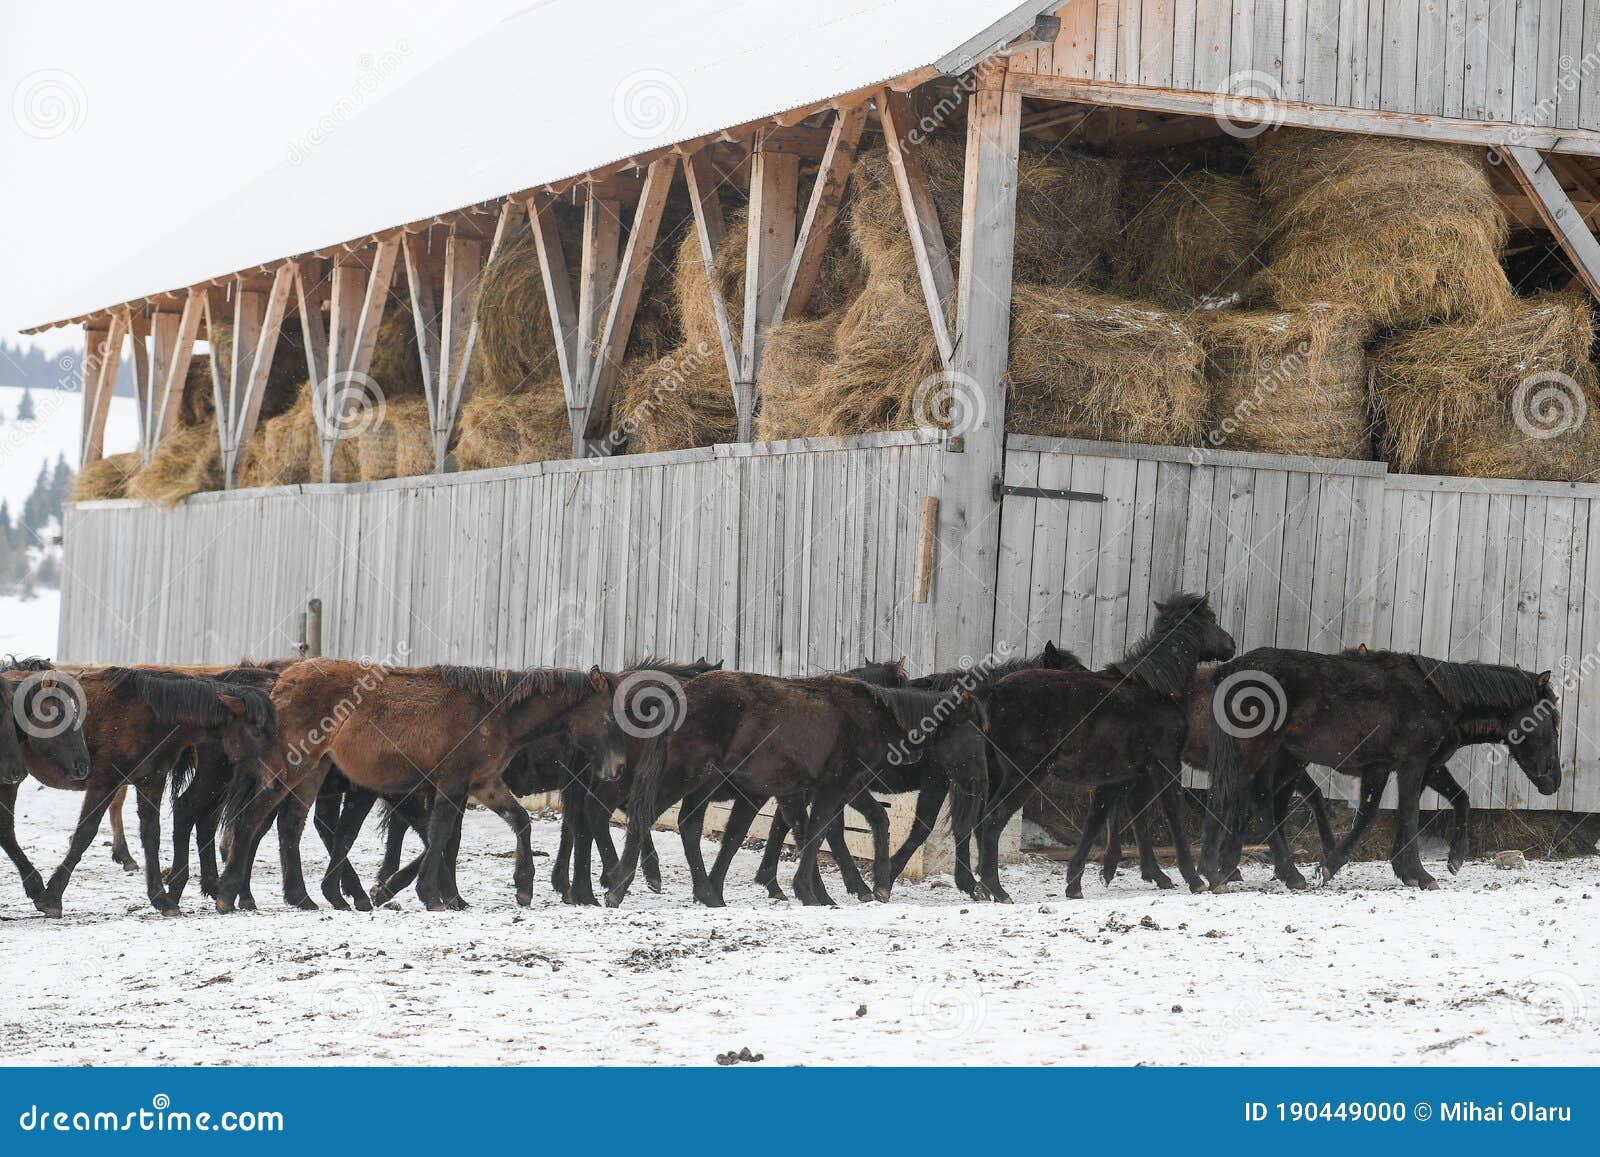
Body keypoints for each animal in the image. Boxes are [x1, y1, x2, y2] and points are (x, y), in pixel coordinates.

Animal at [0, 666, 276, 915]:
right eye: (256, 730)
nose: (277, 772)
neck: (146, 716)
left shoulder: (150, 782)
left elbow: (151, 834)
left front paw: (161, 899)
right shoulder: (104, 782)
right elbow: (84, 834)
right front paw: (52, 897)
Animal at [217, 660, 630, 913]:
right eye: (608, 717)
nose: (618, 767)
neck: (495, 713)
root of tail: (281, 682)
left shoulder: (483, 784)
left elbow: (518, 821)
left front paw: (522, 886)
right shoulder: (452, 785)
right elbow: (442, 834)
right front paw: (432, 895)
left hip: (314, 771)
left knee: (290, 825)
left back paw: (302, 897)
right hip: (293, 767)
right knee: (252, 820)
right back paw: (228, 894)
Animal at [604, 673, 987, 908]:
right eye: (973, 736)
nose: (982, 782)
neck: (871, 718)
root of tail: (681, 696)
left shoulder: (816, 790)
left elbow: (828, 830)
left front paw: (860, 886)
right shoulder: (834, 787)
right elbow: (817, 834)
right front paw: (815, 892)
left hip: (701, 783)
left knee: (686, 824)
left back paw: (706, 893)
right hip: (685, 776)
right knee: (644, 816)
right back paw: (619, 886)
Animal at [974, 593, 1237, 902]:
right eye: (1212, 620)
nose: (1231, 644)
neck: (1157, 690)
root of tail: (992, 693)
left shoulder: (1117, 776)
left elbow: (1096, 821)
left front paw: (1075, 883)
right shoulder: (1166, 764)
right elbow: (1172, 813)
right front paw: (1194, 879)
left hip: (997, 774)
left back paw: (982, 887)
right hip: (1022, 774)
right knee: (993, 819)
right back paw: (997, 889)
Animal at [1203, 647, 1561, 891]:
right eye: (1551, 724)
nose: (1553, 782)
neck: (1439, 698)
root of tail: (1233, 669)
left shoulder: (1405, 767)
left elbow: (1447, 802)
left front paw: (1442, 861)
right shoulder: (1412, 765)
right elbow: (1408, 813)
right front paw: (1420, 873)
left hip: (1282, 760)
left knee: (1253, 803)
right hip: (1256, 754)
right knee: (1243, 801)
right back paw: (1239, 872)